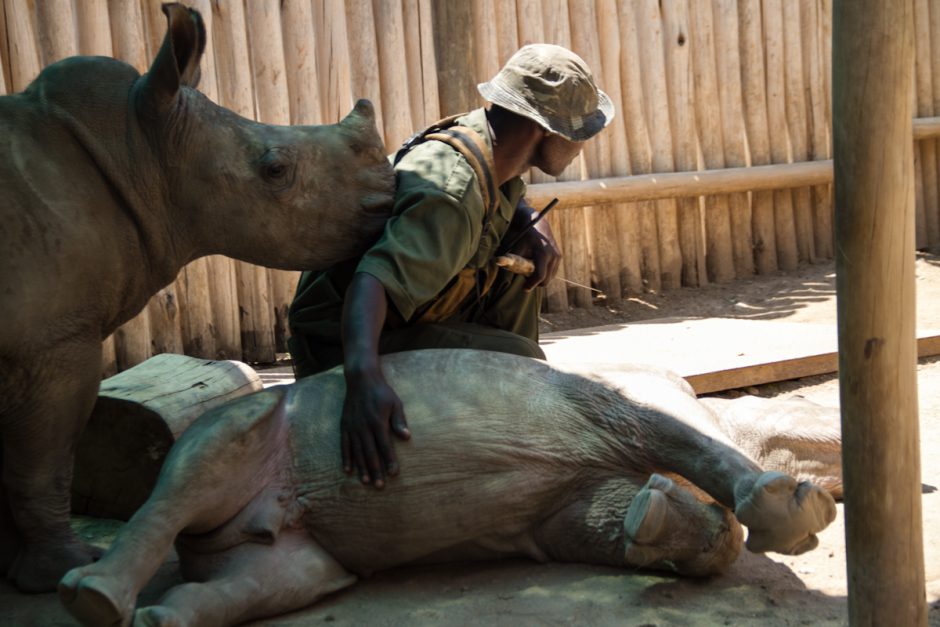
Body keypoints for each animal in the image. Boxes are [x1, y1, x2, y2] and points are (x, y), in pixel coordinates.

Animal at [0, 2, 396, 592]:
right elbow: (44, 458)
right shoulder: (55, 339)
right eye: (275, 169)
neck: (139, 147)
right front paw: (60, 570)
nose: (388, 201)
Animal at [58, 350, 836, 624]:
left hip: (291, 553)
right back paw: (91, 594)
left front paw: (657, 522)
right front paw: (799, 515)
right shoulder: (621, 400)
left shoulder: (565, 499)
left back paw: (160, 618)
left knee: (280, 576)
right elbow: (677, 440)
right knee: (193, 470)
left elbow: (596, 518)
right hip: (254, 420)